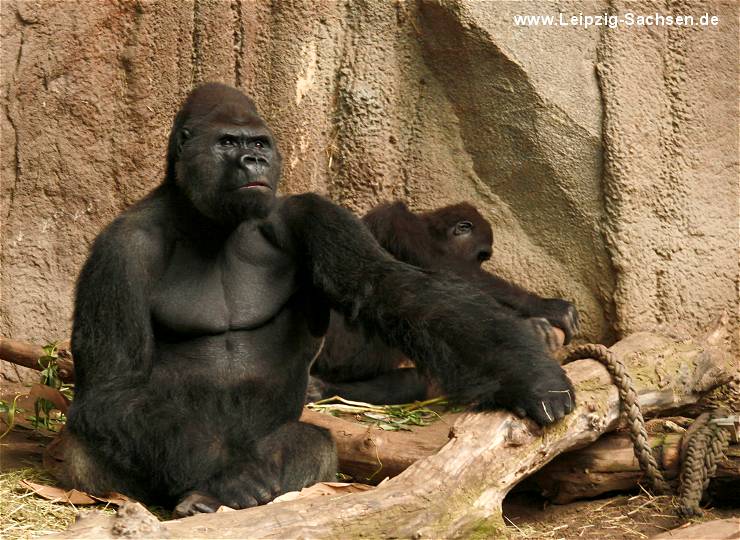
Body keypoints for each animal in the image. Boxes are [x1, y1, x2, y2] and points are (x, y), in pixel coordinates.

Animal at [310, 200, 580, 402]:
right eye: (481, 256)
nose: (481, 264)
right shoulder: (400, 221)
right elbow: (446, 269)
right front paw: (545, 309)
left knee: (412, 379)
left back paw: (323, 390)